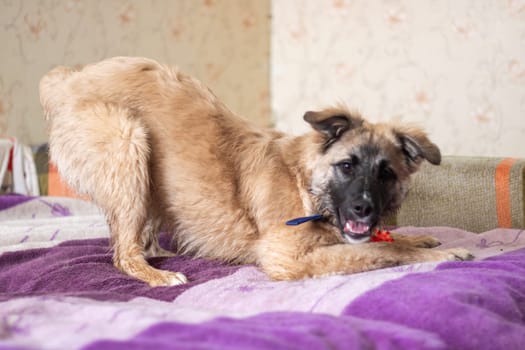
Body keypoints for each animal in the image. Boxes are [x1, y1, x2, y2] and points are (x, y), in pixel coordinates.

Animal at [39, 56, 472, 288]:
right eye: (347, 166)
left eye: (386, 173)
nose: (364, 210)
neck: (304, 185)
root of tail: (68, 78)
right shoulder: (286, 259)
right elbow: (381, 249)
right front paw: (441, 252)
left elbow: (383, 240)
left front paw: (418, 237)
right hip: (128, 143)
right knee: (122, 253)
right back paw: (157, 273)